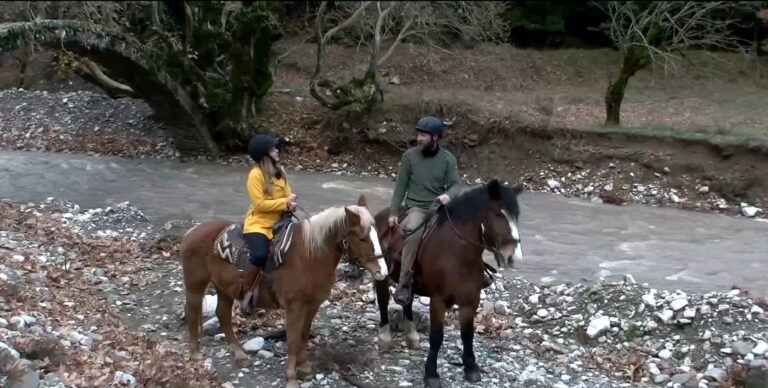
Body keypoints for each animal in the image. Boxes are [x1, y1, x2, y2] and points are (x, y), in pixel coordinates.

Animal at [178, 194, 384, 388]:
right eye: (362, 238)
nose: (381, 271)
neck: (310, 256)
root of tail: (192, 232)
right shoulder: (294, 307)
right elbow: (292, 340)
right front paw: (291, 378)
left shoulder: (312, 305)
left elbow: (303, 335)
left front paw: (304, 368)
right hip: (196, 284)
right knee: (193, 311)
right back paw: (196, 354)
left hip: (224, 288)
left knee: (222, 314)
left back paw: (239, 355)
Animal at [370, 180, 520, 388]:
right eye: (498, 214)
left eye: (517, 215)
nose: (512, 256)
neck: (458, 254)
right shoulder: (438, 300)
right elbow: (436, 337)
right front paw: (431, 373)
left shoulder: (470, 301)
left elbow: (467, 334)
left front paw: (471, 367)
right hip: (381, 276)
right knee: (383, 300)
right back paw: (384, 337)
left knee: (407, 301)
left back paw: (411, 335)